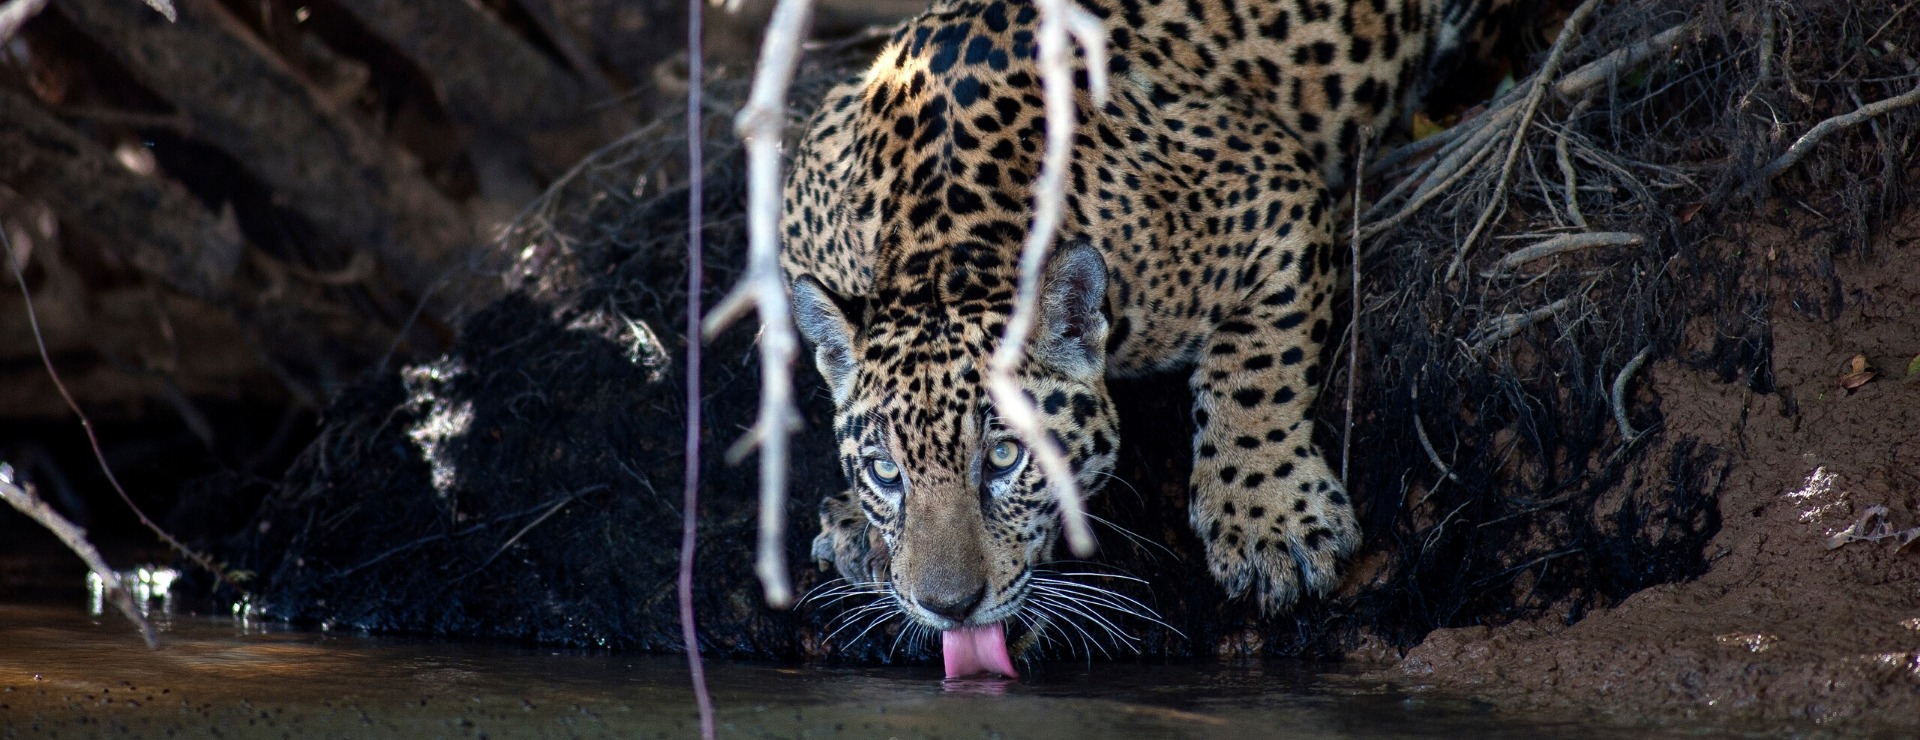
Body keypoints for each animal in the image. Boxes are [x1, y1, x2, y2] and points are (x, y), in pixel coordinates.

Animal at [782, 0, 1515, 654]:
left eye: (1004, 457)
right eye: (884, 471)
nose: (948, 607)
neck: (943, 247)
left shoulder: (1269, 188)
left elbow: (1256, 364)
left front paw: (1269, 519)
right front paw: (856, 524)